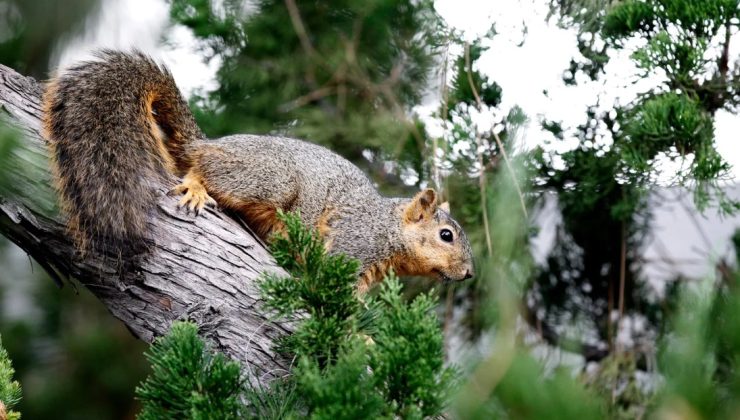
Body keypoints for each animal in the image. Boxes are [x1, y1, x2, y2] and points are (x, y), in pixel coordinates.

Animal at [40, 50, 474, 292]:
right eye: (446, 235)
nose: (470, 274)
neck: (387, 229)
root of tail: (209, 143)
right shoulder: (353, 245)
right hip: (272, 180)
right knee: (203, 169)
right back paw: (197, 185)